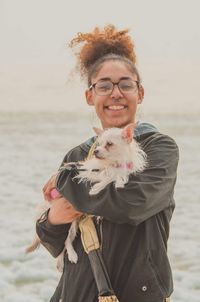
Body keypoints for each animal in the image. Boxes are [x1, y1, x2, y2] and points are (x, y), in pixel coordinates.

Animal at [25, 124, 147, 270]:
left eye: (109, 144)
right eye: (98, 144)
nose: (96, 152)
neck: (111, 163)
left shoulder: (123, 168)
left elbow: (118, 175)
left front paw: (118, 181)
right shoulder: (87, 172)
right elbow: (105, 176)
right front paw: (97, 188)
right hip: (71, 224)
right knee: (66, 241)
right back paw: (71, 255)